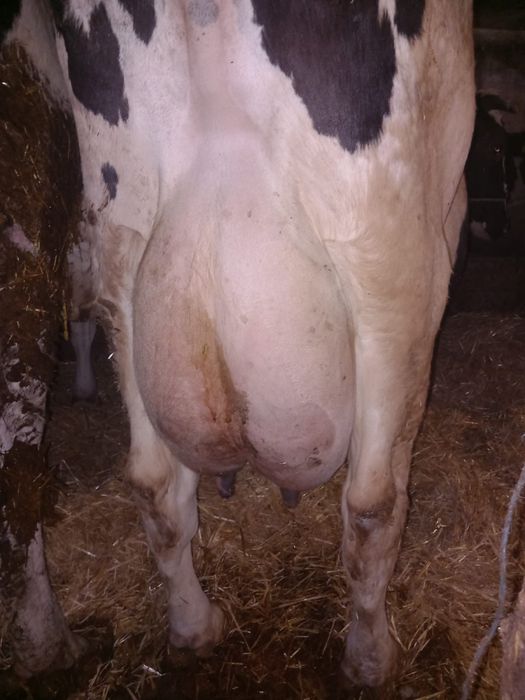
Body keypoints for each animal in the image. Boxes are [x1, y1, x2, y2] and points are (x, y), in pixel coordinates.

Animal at [5, 0, 475, 688]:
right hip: (392, 265)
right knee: (373, 502)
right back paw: (370, 662)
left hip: (121, 250)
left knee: (147, 483)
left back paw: (187, 631)